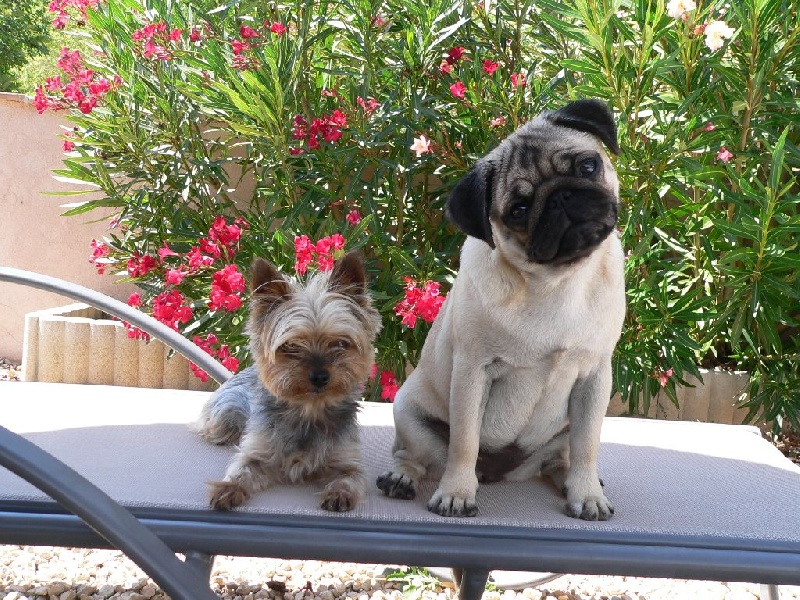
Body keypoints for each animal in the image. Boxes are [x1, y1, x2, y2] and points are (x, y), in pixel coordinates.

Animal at [197, 251, 382, 512]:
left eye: (340, 343)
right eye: (292, 345)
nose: (320, 376)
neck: (309, 410)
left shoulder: (348, 459)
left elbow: (350, 477)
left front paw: (339, 493)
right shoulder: (257, 452)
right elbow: (242, 469)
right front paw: (228, 488)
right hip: (225, 413)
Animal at [376, 99, 626, 520]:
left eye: (588, 166)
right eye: (519, 210)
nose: (560, 197)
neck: (554, 283)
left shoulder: (594, 376)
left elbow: (587, 445)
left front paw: (587, 493)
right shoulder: (472, 371)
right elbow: (464, 442)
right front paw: (456, 494)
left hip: (559, 433)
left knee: (562, 456)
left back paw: (571, 480)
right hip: (409, 411)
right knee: (414, 454)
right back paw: (401, 477)